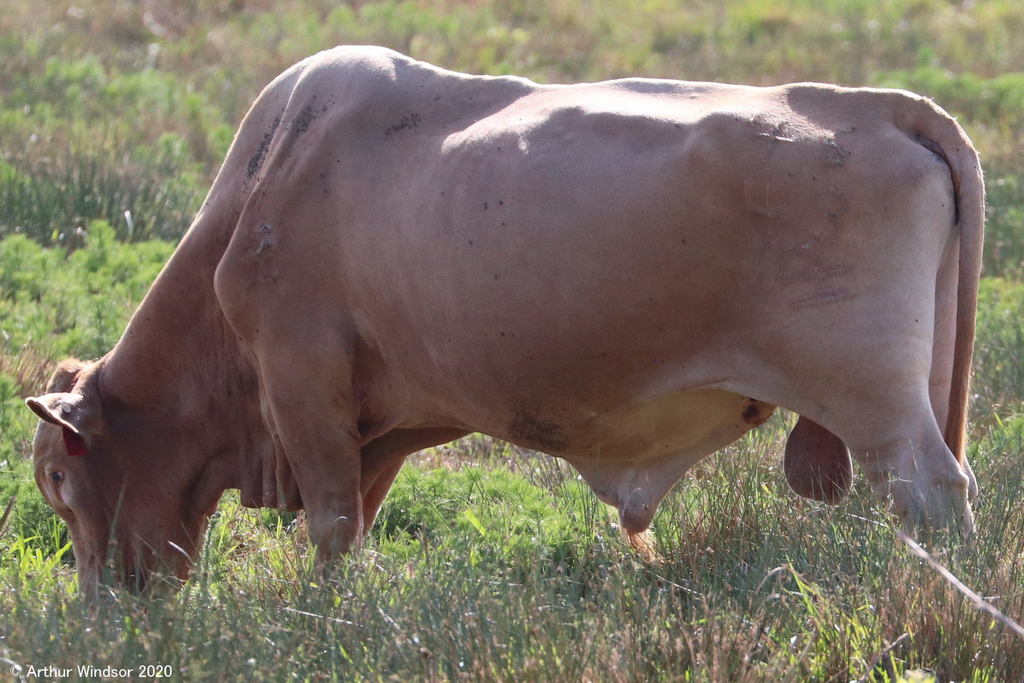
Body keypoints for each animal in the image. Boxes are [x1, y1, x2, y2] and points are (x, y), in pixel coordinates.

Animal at [26, 46, 983, 597]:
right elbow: (355, 522)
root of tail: (875, 103)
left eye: (58, 480)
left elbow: (329, 525)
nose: (101, 610)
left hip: (878, 405)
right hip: (926, 391)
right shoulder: (377, 426)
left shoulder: (302, 385)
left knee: (931, 491)